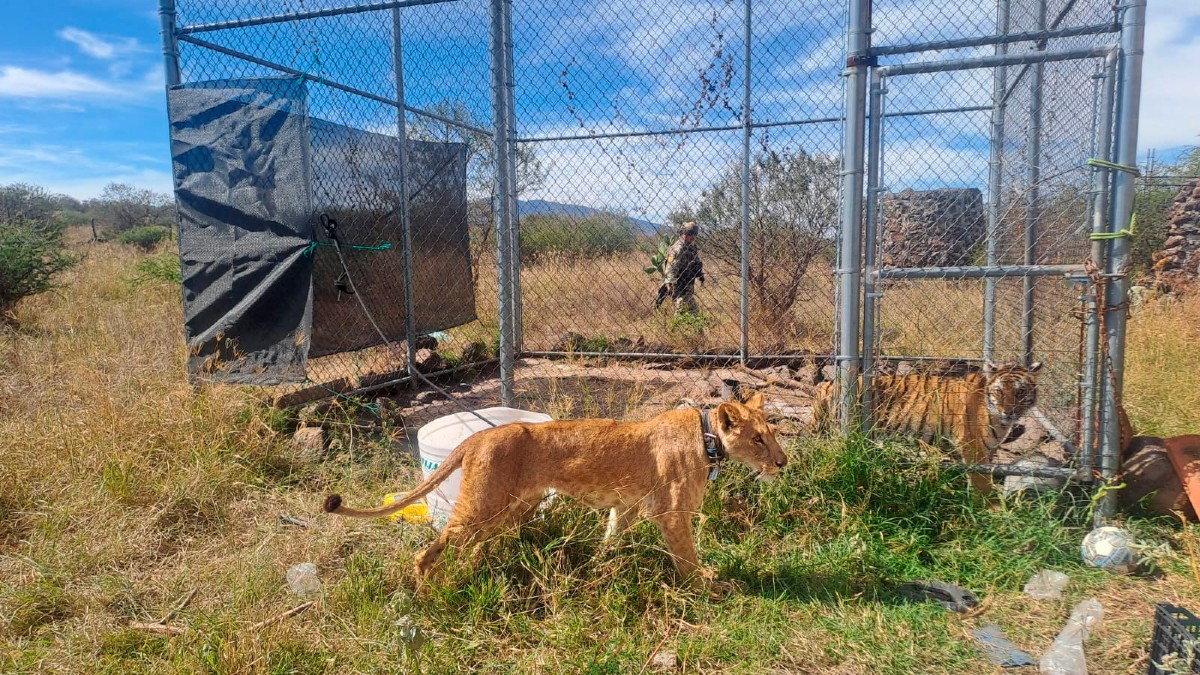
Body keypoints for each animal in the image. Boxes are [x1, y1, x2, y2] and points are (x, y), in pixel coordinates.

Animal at [811, 361, 1043, 492]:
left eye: (1020, 392)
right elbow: (981, 481)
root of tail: (829, 384)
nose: (1009, 411)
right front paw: (990, 509)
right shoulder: (974, 448)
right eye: (999, 391)